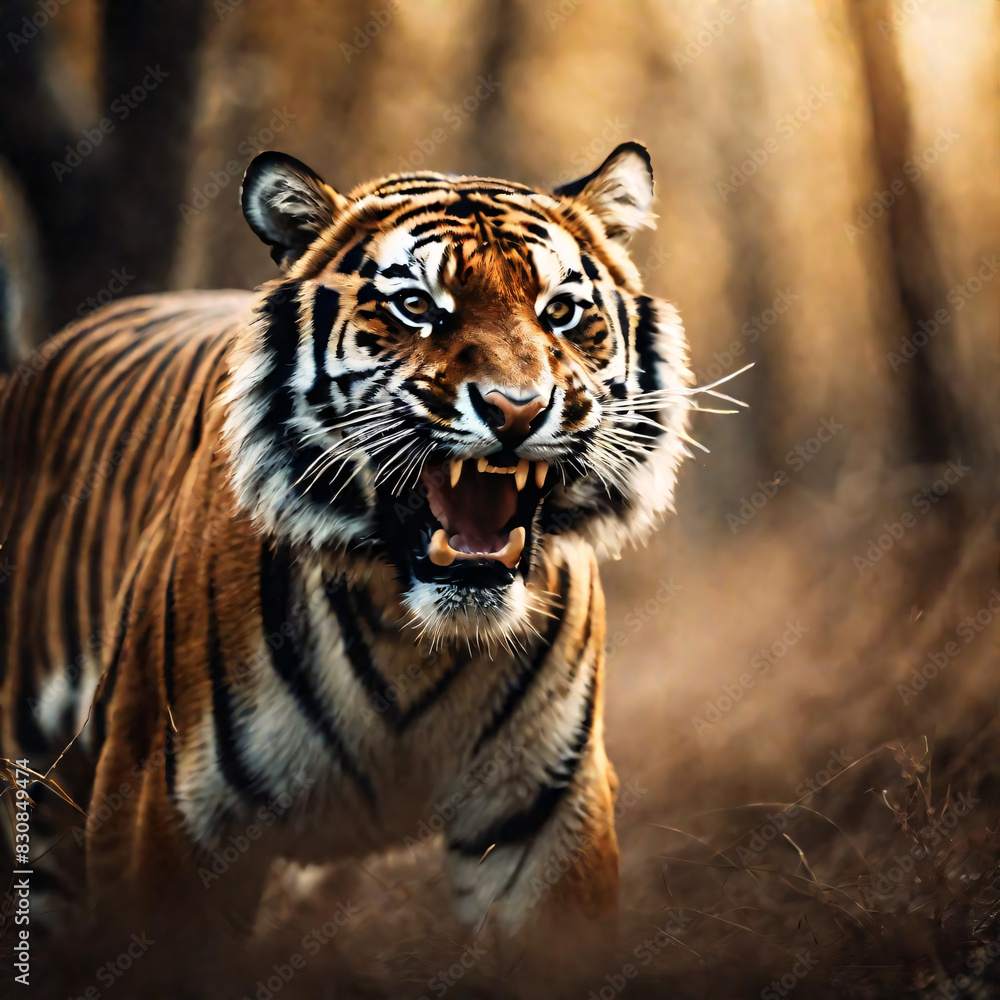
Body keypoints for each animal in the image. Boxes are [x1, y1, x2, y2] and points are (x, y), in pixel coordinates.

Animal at [0, 142, 692, 963]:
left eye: (560, 311)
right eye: (417, 306)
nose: (517, 409)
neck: (410, 631)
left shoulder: (547, 811)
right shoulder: (164, 810)